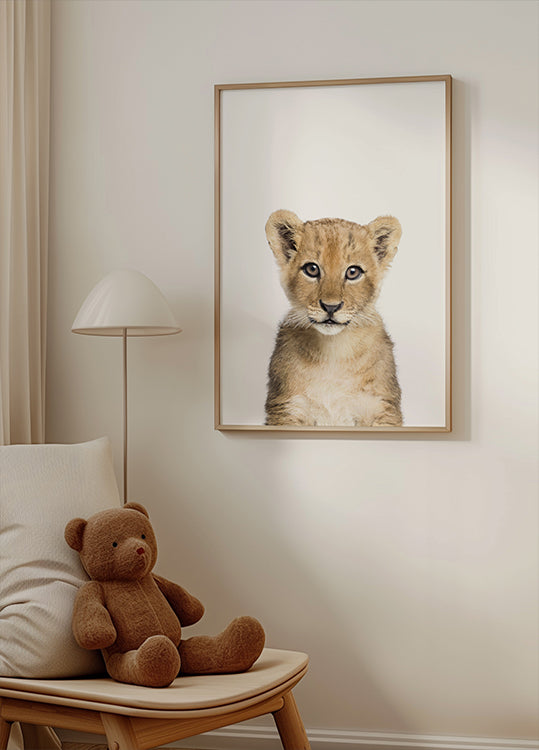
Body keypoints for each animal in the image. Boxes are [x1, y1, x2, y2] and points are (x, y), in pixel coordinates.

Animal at [264, 210, 403, 427]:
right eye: (312, 269)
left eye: (353, 272)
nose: (331, 307)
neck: (333, 350)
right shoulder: (287, 407)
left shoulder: (381, 407)